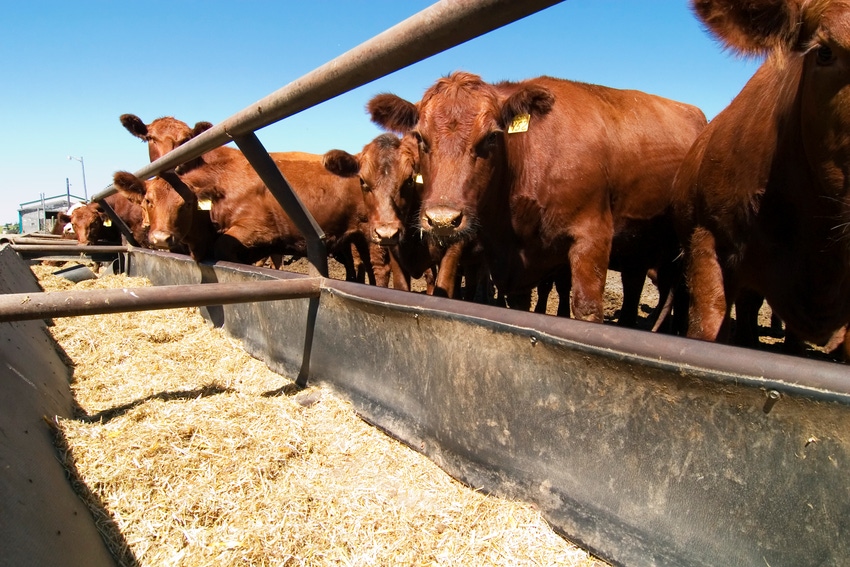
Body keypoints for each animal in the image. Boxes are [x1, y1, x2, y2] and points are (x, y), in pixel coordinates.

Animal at [368, 71, 704, 324]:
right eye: (421, 138)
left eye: (492, 137)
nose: (442, 220)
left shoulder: (591, 238)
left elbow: (586, 309)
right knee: (634, 288)